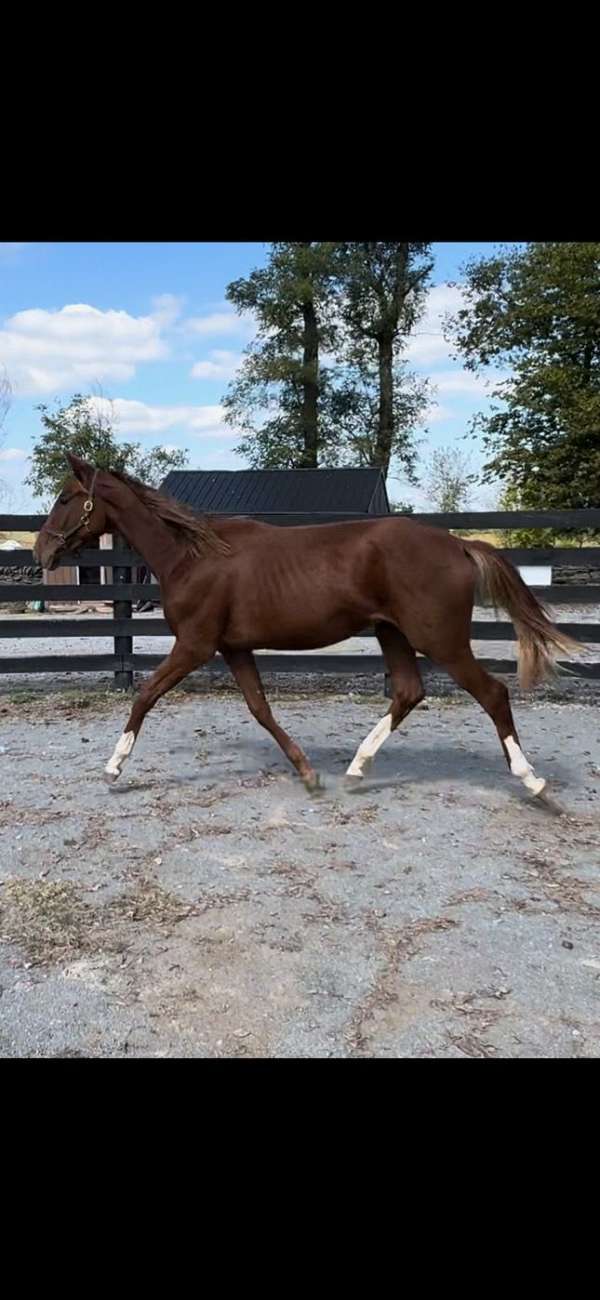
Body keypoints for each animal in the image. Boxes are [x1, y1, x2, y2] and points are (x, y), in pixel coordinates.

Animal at [34, 452, 581, 797]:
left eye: (64, 497)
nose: (41, 551)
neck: (192, 557)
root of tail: (460, 545)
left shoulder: (194, 645)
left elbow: (144, 695)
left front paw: (112, 768)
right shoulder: (233, 648)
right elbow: (260, 709)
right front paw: (307, 773)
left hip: (439, 638)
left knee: (492, 693)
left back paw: (532, 781)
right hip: (392, 632)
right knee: (408, 692)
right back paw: (356, 771)